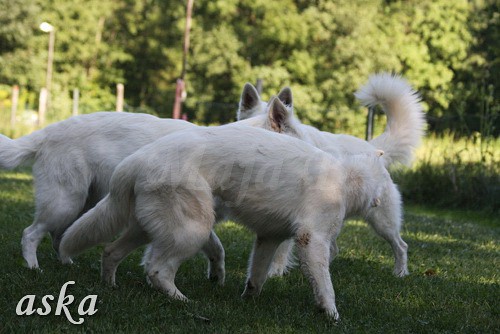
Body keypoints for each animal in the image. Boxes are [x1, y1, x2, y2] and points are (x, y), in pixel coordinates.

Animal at [58, 97, 396, 320]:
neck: (345, 176)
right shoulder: (312, 241)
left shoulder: (269, 238)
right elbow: (325, 284)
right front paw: (331, 313)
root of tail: (136, 160)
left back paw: (110, 286)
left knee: (111, 251)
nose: (384, 199)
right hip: (191, 231)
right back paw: (182, 301)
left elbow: (257, 275)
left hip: (147, 228)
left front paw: (249, 299)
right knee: (157, 269)